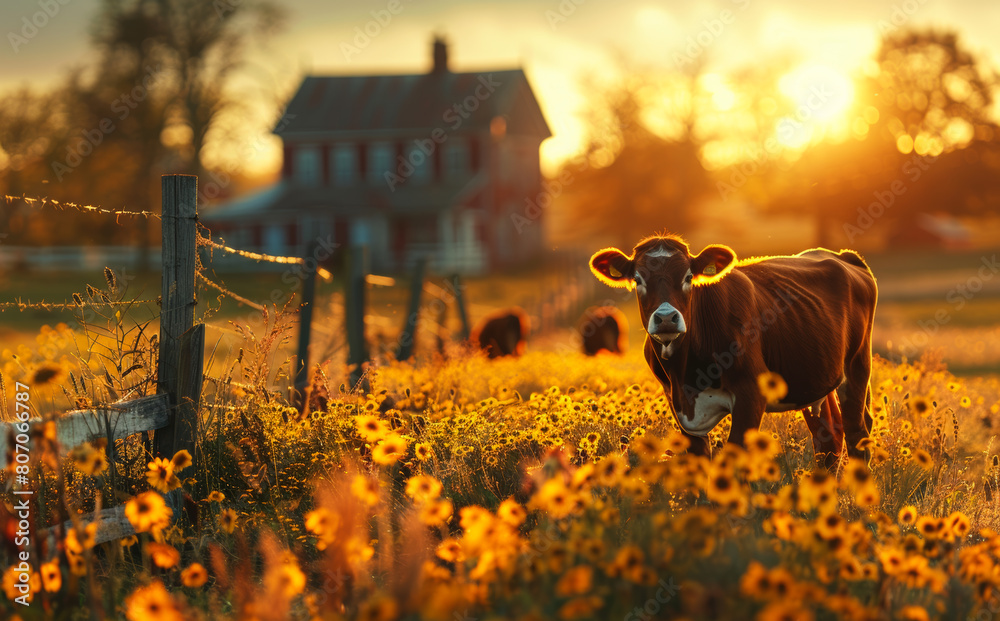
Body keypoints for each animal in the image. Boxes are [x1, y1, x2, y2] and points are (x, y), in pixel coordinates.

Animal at [588, 234, 880, 464]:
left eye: (688, 277)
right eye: (637, 279)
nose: (666, 318)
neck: (686, 374)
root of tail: (841, 255)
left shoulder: (751, 393)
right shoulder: (679, 407)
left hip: (857, 365)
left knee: (857, 433)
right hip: (813, 378)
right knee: (829, 438)